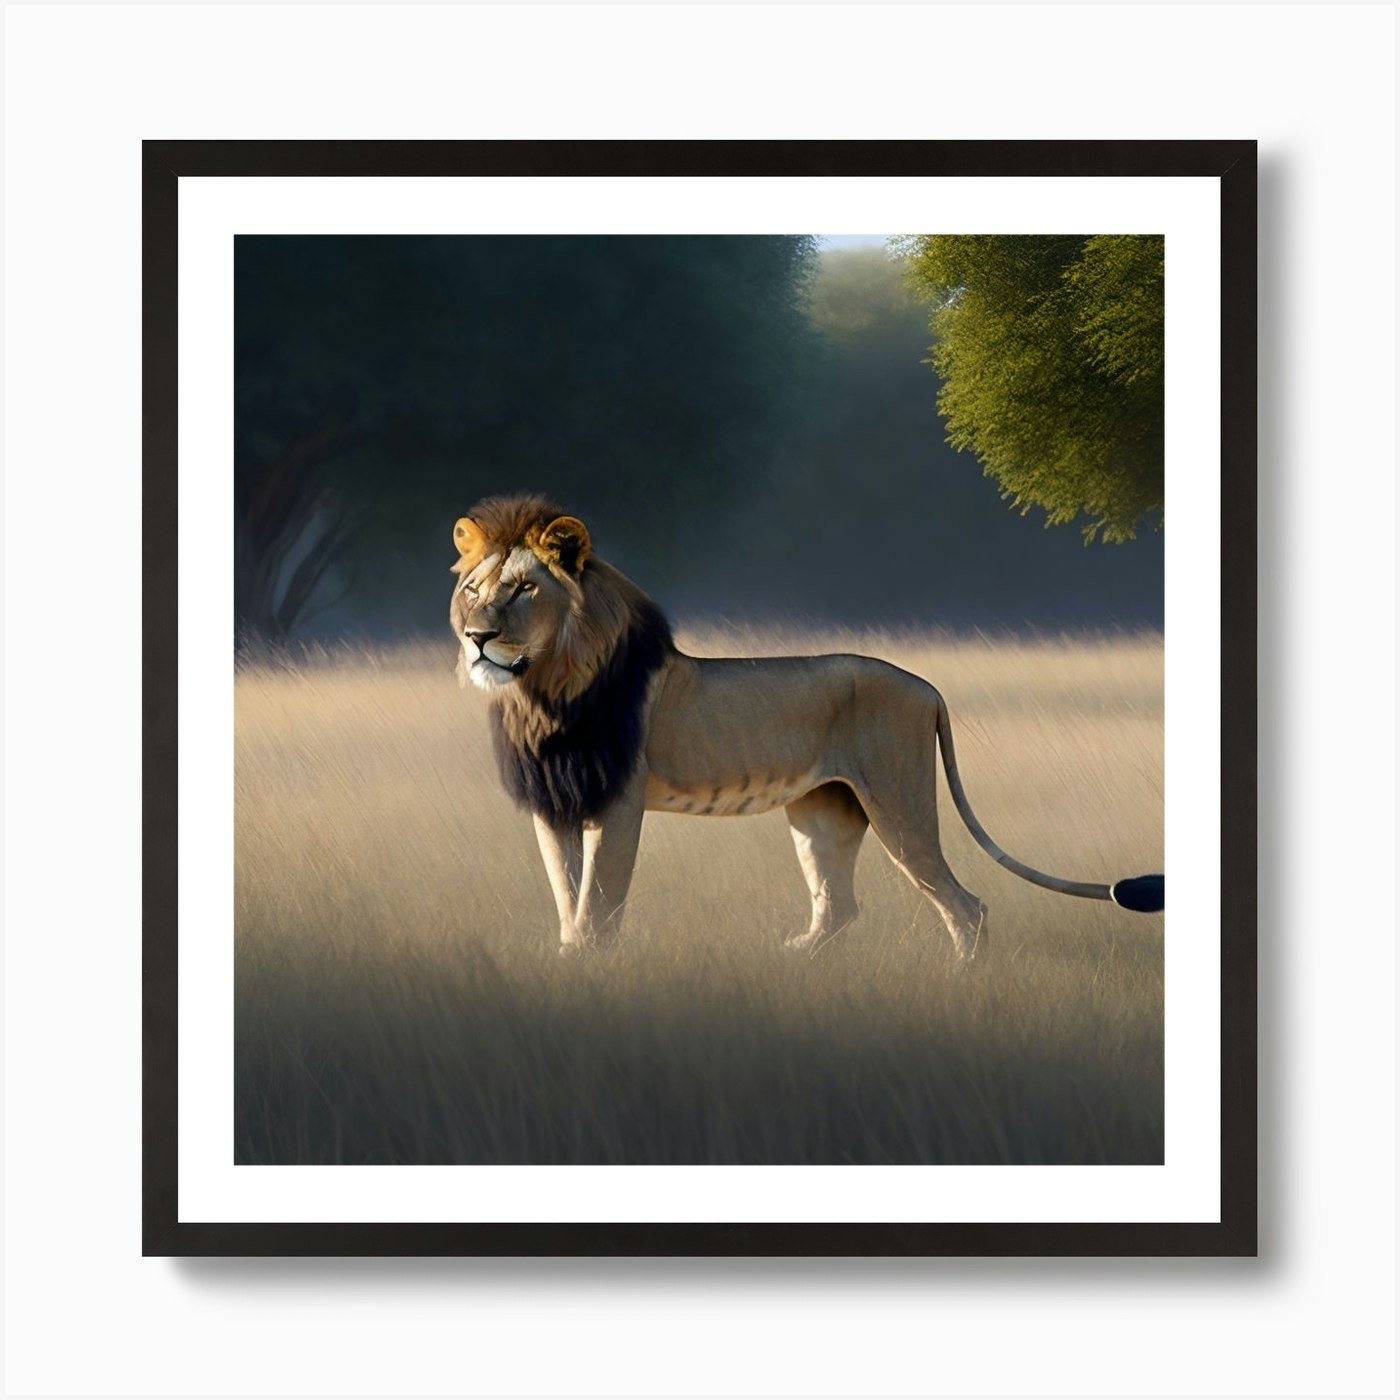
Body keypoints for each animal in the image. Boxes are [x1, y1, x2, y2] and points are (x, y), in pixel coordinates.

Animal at [450, 493, 1165, 959]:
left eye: (523, 590)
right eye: (473, 590)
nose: (476, 637)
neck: (541, 692)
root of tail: (929, 686)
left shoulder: (618, 801)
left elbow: (599, 904)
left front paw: (591, 969)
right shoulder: (555, 803)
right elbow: (568, 898)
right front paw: (567, 961)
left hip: (897, 801)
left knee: (966, 905)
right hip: (823, 810)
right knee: (840, 907)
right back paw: (795, 961)